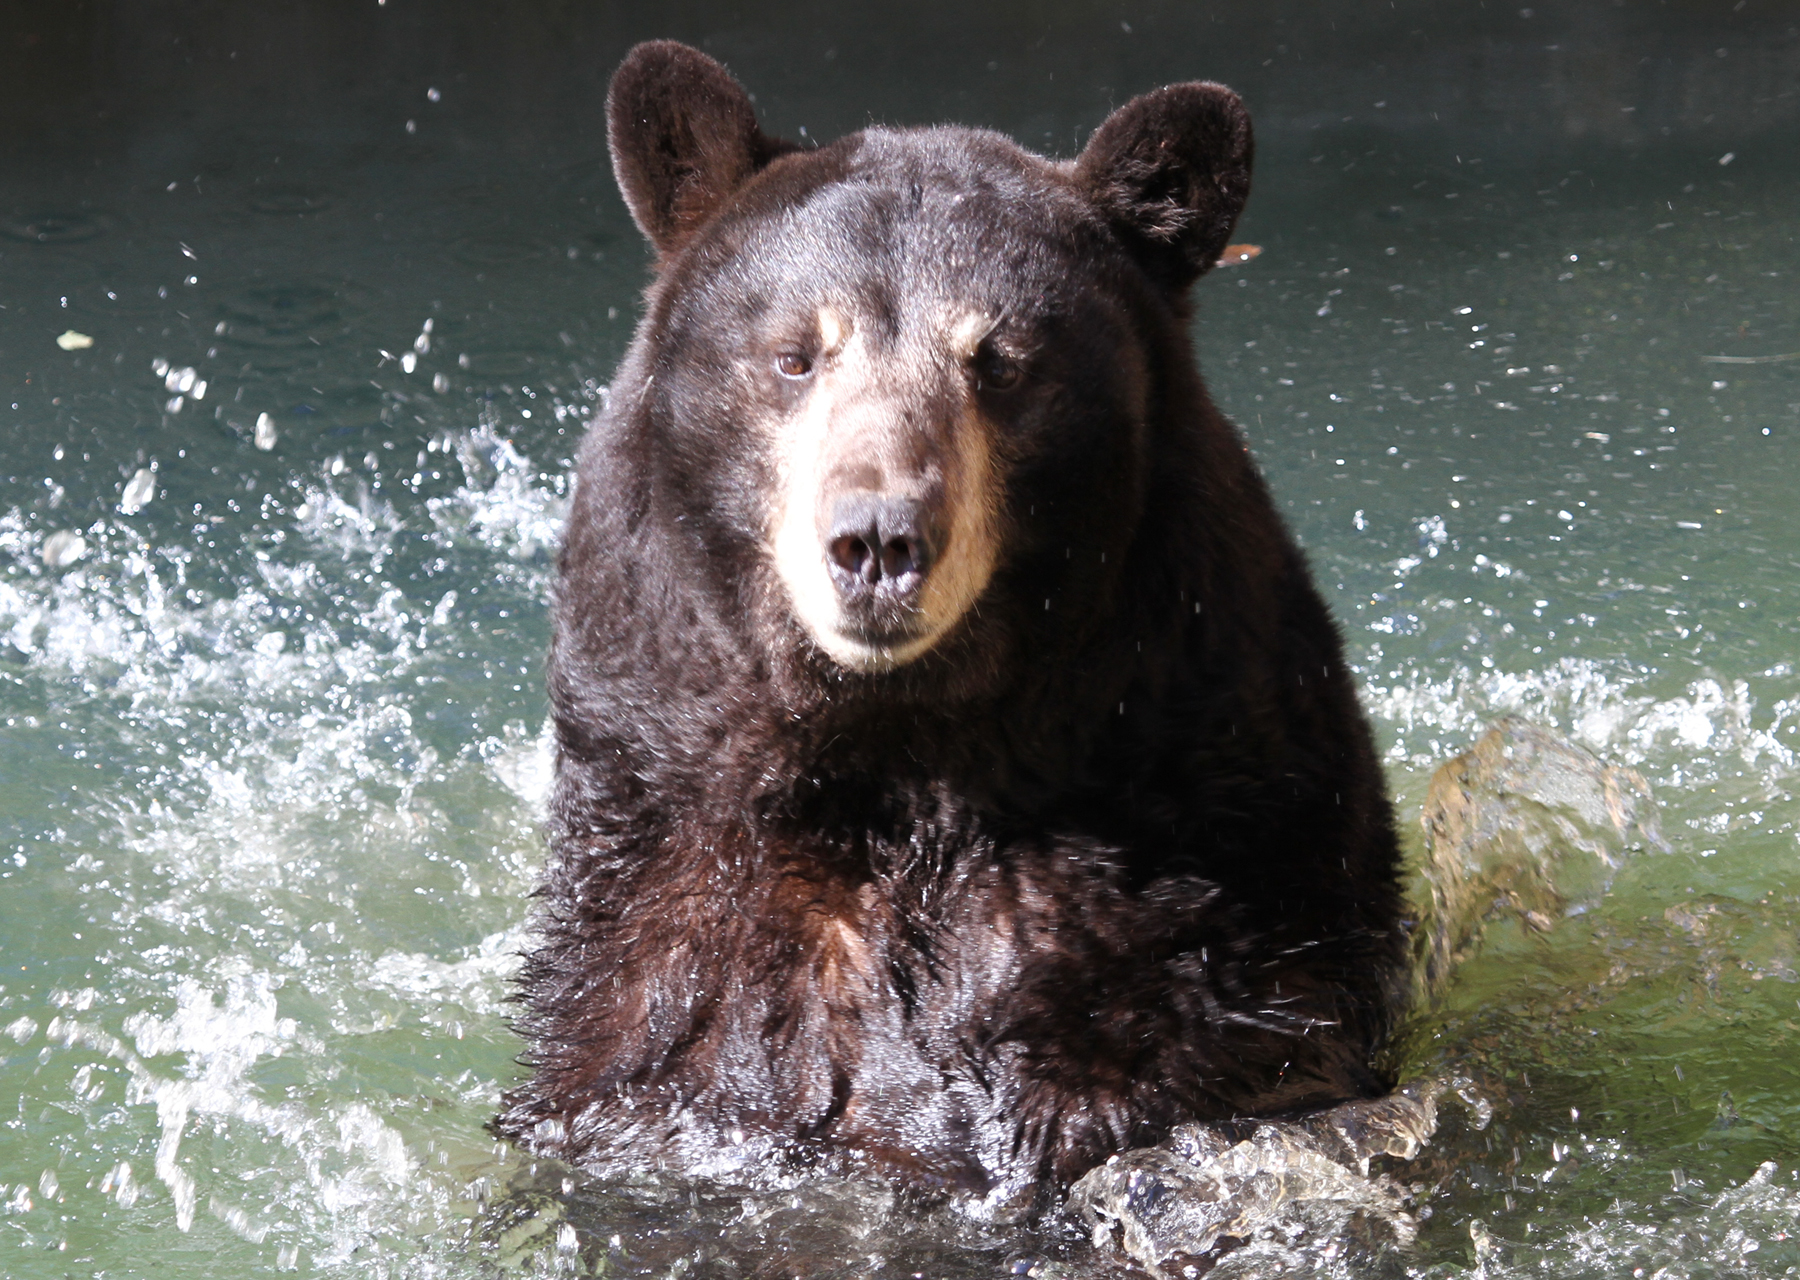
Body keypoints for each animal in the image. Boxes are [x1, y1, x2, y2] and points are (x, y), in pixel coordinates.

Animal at [496, 37, 1404, 1202]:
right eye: (795, 354)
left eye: (1001, 361)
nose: (879, 541)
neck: (903, 748)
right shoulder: (662, 950)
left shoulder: (1213, 900)